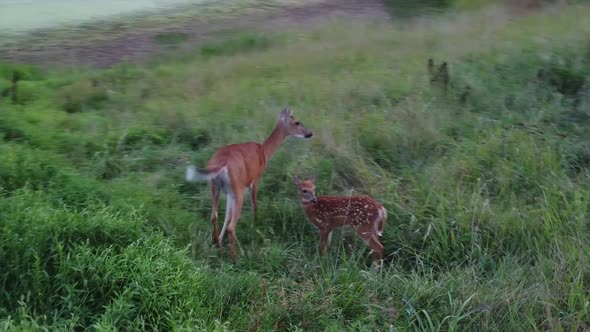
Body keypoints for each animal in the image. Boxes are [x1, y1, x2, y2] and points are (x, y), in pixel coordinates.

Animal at [187, 109, 312, 262]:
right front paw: (256, 225)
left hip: (216, 187)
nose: (310, 133)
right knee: (231, 226)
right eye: (297, 122)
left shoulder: (229, 192)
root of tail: (221, 164)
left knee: (214, 215)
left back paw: (218, 245)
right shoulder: (255, 179)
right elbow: (254, 205)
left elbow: (227, 214)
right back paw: (234, 259)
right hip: (238, 189)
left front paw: (220, 241)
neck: (264, 151)